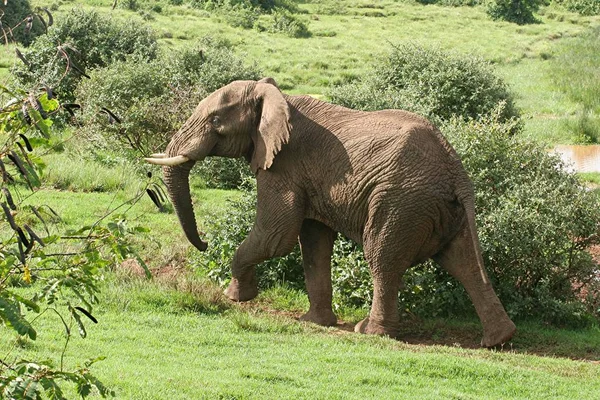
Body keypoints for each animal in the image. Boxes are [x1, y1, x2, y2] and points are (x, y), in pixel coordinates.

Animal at [145, 76, 516, 346]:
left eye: (216, 120)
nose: (205, 243)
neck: (275, 95)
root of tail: (456, 171)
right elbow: (313, 243)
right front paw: (315, 322)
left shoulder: (284, 164)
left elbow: (276, 235)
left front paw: (236, 297)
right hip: (440, 208)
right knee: (463, 262)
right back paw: (498, 340)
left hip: (401, 201)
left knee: (383, 259)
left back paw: (370, 332)